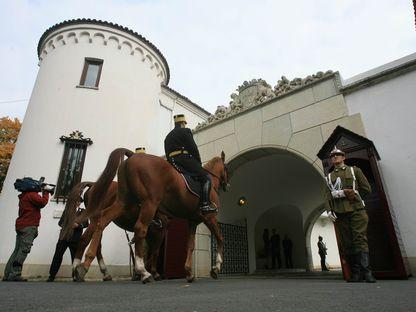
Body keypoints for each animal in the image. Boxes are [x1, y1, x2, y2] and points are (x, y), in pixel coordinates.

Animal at [72, 149, 226, 282]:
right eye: (225, 168)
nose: (226, 184)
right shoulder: (208, 217)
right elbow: (220, 238)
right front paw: (216, 268)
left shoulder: (192, 221)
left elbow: (190, 245)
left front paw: (188, 272)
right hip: (149, 204)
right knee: (138, 229)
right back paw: (143, 272)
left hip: (122, 203)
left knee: (98, 226)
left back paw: (81, 267)